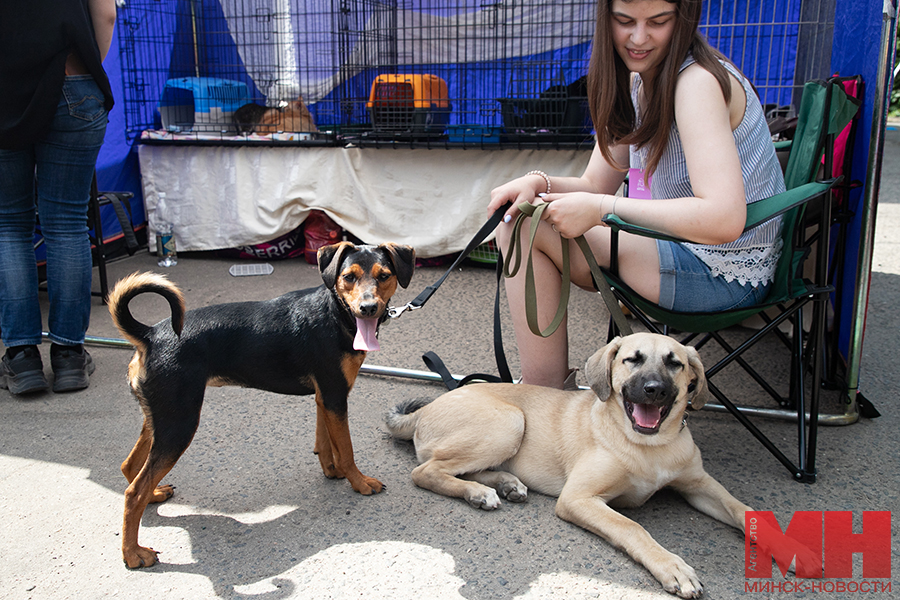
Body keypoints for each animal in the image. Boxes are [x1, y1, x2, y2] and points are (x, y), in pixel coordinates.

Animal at [109, 240, 414, 568]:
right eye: (349, 277)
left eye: (384, 276)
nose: (368, 308)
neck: (335, 313)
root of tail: (150, 335)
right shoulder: (335, 395)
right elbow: (346, 449)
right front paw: (359, 482)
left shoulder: (325, 396)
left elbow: (325, 441)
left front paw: (331, 471)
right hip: (180, 423)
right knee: (133, 492)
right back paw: (133, 553)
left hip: (161, 417)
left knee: (130, 468)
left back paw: (153, 496)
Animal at [386, 336, 760, 596]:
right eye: (633, 360)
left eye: (675, 363)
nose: (654, 390)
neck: (649, 447)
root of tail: (426, 408)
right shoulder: (579, 498)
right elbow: (632, 528)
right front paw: (672, 566)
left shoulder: (699, 485)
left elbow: (743, 509)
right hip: (509, 421)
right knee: (425, 472)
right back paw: (478, 493)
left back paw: (504, 484)